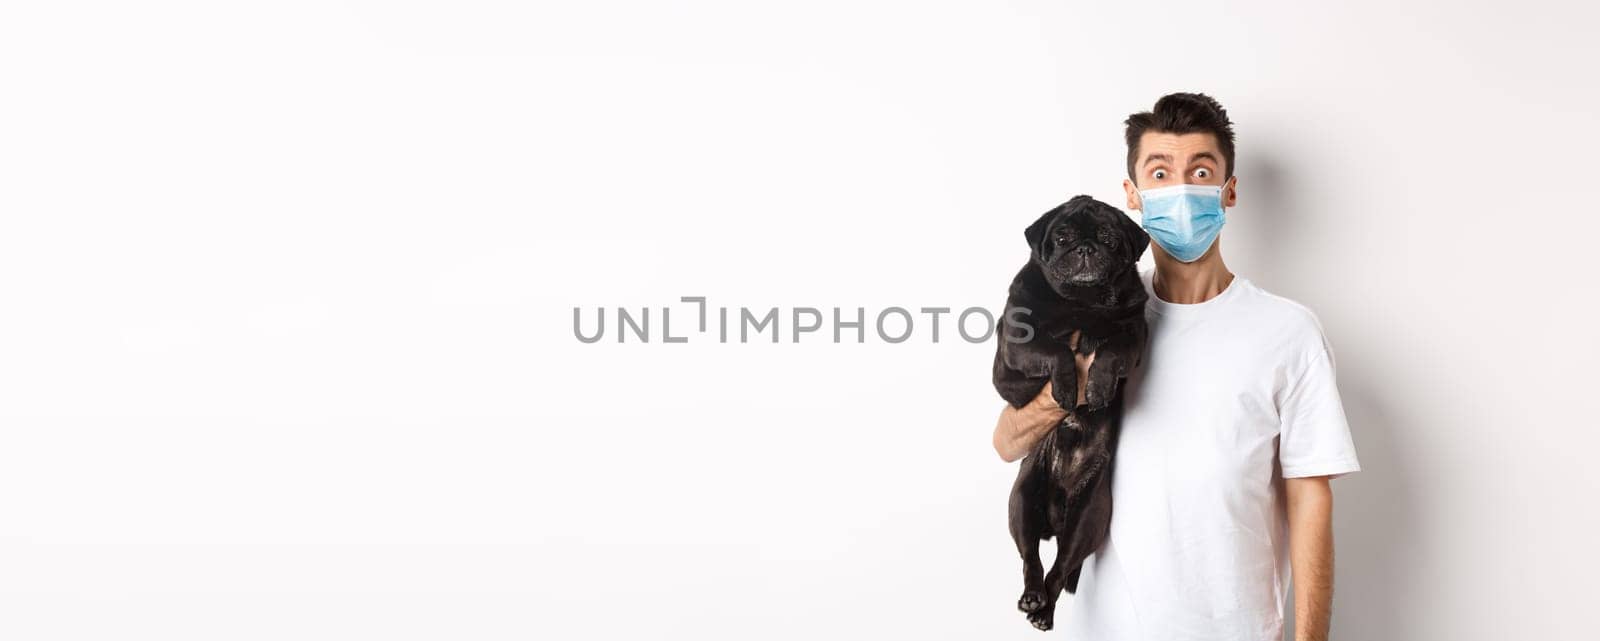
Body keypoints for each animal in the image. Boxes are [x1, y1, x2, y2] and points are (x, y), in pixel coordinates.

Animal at [992, 193, 1145, 629]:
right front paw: (1066, 388)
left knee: (1060, 569)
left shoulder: (1135, 334)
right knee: (1031, 559)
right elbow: (1056, 350)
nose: (1086, 247)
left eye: (1109, 238)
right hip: (1021, 501)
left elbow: (1110, 351)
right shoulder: (1015, 348)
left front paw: (1096, 388)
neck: (1082, 303)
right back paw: (1032, 598)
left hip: (1088, 518)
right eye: (1061, 237)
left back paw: (1044, 611)